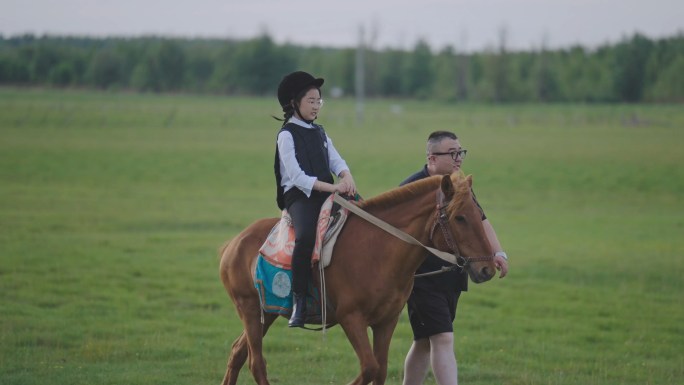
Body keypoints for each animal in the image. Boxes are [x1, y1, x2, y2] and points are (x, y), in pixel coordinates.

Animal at [219, 172, 496, 384]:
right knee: (256, 362)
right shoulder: (351, 318)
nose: (488, 269)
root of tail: (233, 244)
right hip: (249, 310)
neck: (377, 251)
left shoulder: (386, 321)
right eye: (460, 217)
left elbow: (380, 370)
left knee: (237, 352)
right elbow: (370, 368)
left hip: (267, 313)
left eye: (480, 213)